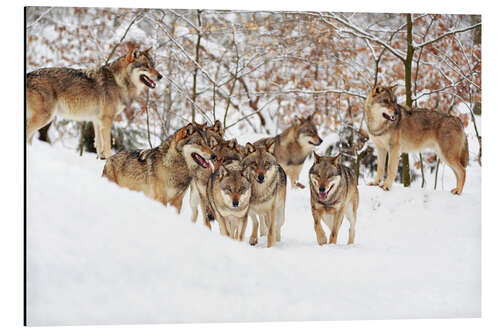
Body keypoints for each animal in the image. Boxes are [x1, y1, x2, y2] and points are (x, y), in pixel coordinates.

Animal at [26, 47, 163, 160]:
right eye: (146, 66)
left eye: (153, 65)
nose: (161, 76)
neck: (119, 81)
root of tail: (28, 74)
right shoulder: (107, 119)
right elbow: (107, 144)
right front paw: (109, 159)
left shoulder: (97, 120)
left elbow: (99, 144)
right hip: (45, 118)